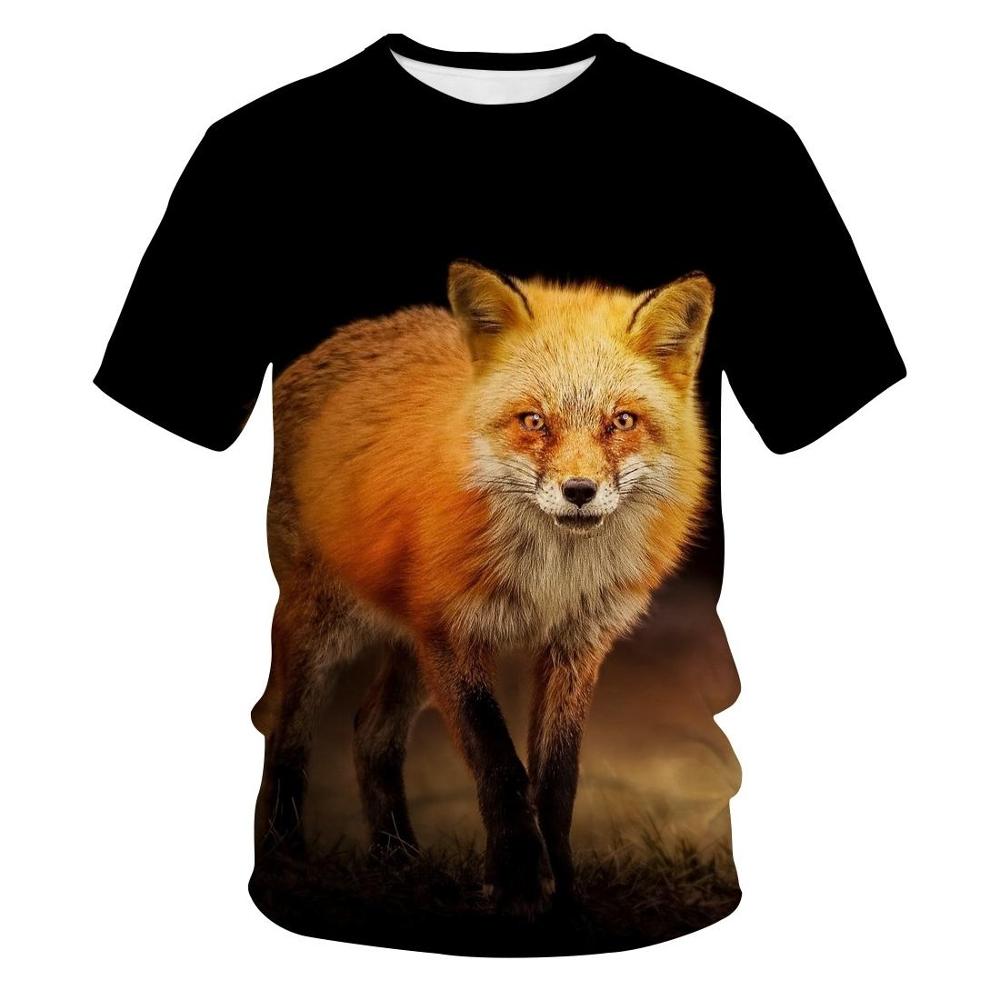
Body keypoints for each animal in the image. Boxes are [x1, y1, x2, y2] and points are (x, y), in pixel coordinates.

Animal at [254, 259, 713, 914]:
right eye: (533, 421)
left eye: (621, 421)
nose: (579, 491)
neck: (550, 575)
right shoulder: (454, 630)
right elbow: (499, 764)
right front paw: (519, 881)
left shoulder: (576, 644)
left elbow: (557, 779)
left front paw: (562, 889)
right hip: (327, 629)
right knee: (284, 731)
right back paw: (287, 857)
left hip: (411, 649)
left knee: (370, 731)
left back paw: (399, 862)